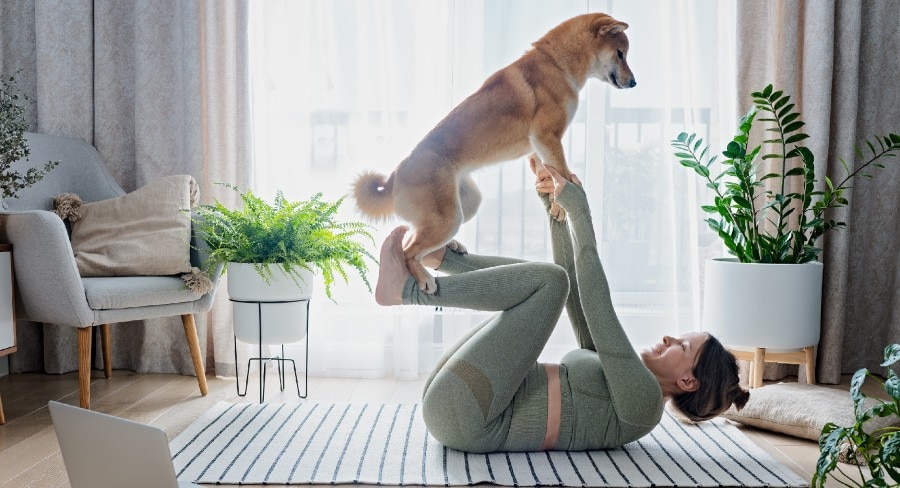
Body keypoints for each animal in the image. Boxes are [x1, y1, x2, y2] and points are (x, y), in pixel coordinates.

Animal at [356, 12, 636, 294]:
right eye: (620, 54)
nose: (634, 82)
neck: (557, 63)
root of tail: (393, 178)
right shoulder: (547, 136)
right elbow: (562, 173)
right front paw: (561, 203)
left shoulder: (538, 145)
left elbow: (547, 170)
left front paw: (550, 192)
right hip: (449, 218)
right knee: (409, 251)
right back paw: (423, 277)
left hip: (466, 203)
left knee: (416, 237)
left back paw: (449, 247)